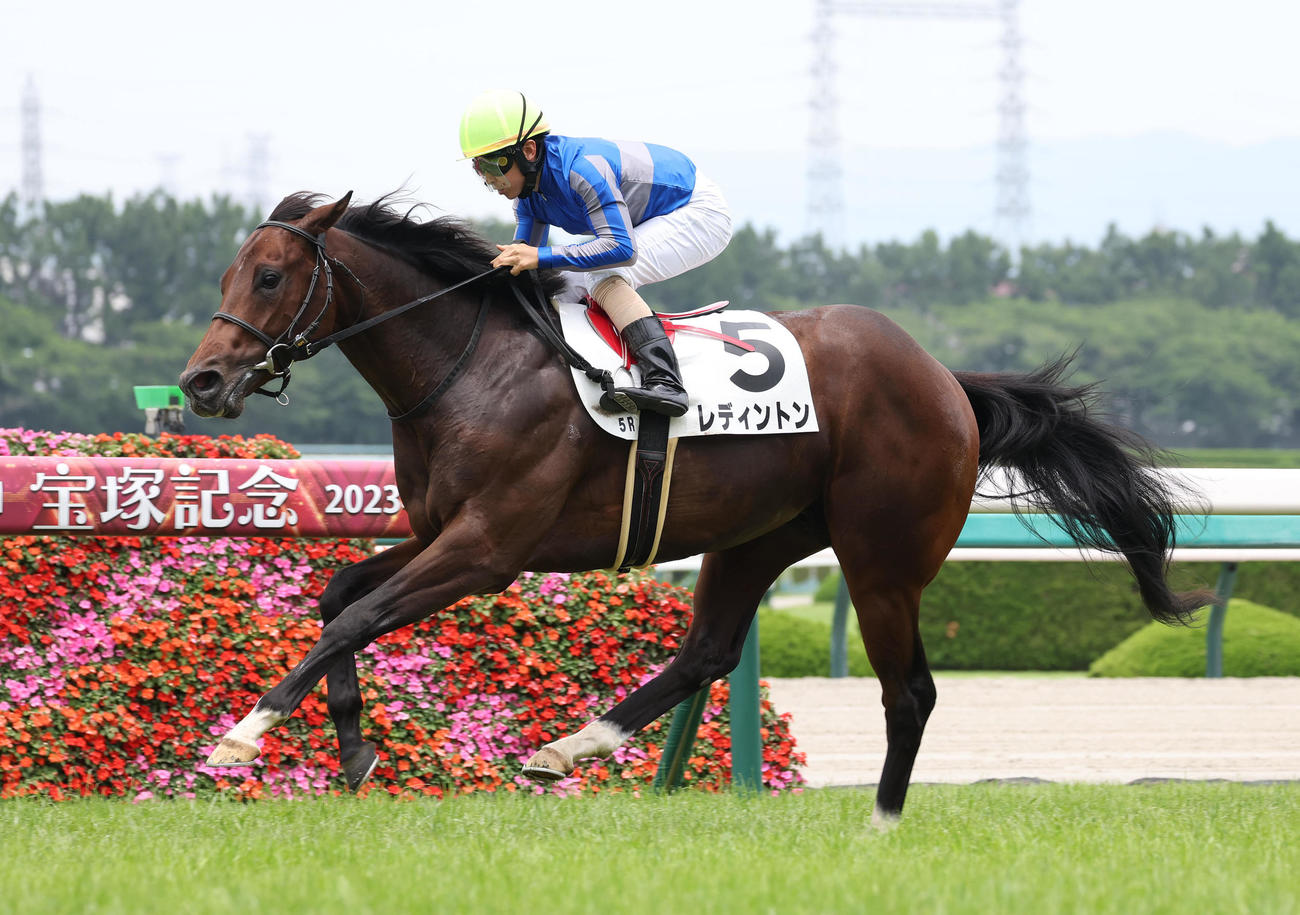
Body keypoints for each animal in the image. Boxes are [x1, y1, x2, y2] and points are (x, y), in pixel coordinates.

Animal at [180, 191, 1208, 826]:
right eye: (227, 273)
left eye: (268, 276)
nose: (202, 381)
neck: (470, 368)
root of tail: (946, 379)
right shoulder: (442, 533)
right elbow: (341, 596)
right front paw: (352, 745)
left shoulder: (488, 548)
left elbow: (353, 614)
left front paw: (240, 735)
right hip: (756, 537)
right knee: (706, 649)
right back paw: (568, 747)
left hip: (881, 557)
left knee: (908, 690)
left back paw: (880, 823)